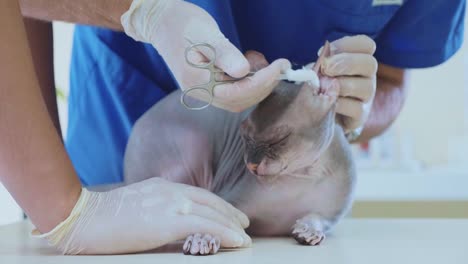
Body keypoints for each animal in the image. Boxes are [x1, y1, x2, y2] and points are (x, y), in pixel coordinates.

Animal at [122, 50, 356, 256]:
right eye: (244, 135)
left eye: (279, 140)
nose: (251, 165)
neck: (302, 175)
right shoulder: (229, 198)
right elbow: (218, 217)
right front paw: (203, 236)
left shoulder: (330, 215)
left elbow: (317, 217)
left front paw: (309, 230)